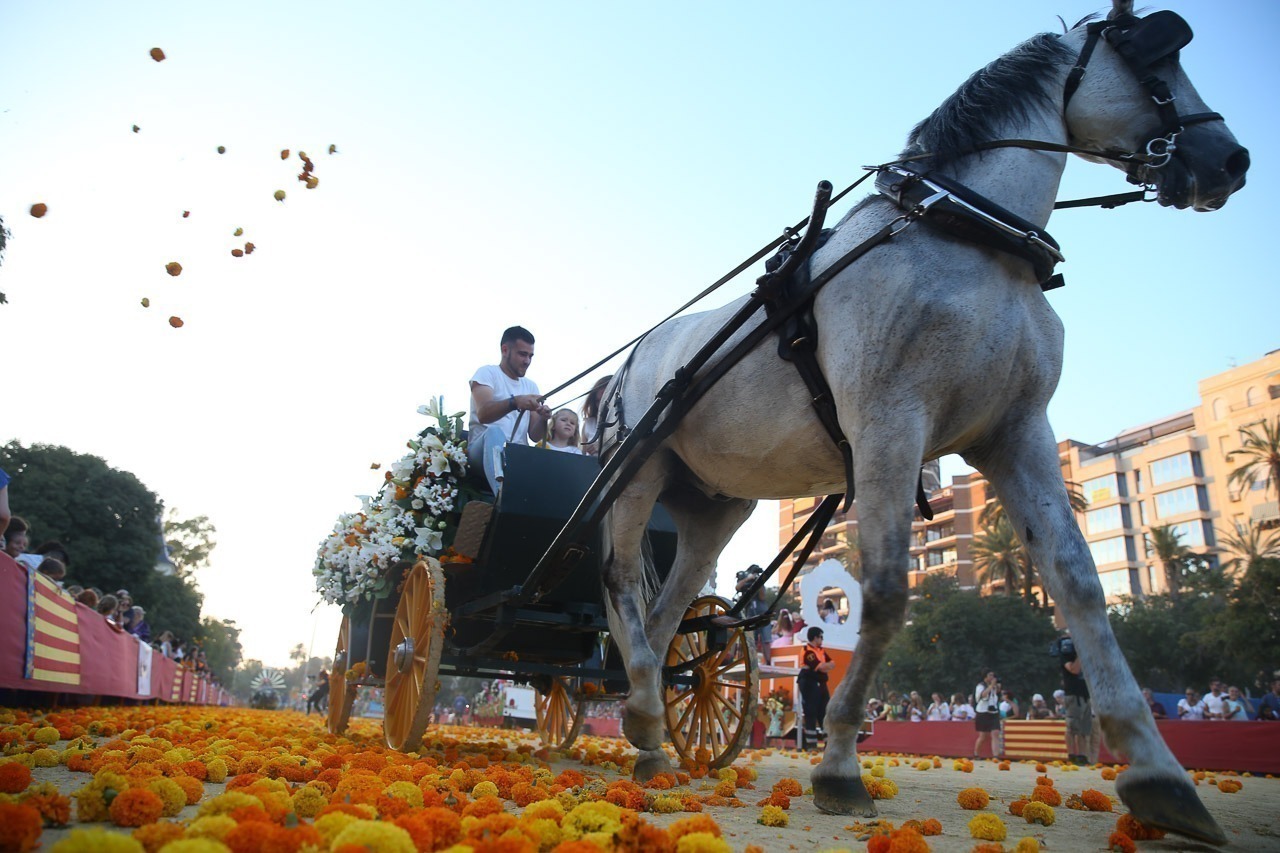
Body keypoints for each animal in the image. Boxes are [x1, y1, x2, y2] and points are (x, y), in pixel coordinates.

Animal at [601, 0, 1249, 835]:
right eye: (1157, 60)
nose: (1230, 158)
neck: (968, 236)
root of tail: (636, 356)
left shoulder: (1017, 431)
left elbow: (1077, 581)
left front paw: (1159, 772)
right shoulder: (888, 421)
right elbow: (883, 589)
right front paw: (840, 761)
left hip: (717, 502)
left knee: (670, 612)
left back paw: (648, 721)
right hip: (639, 470)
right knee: (623, 582)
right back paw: (648, 708)